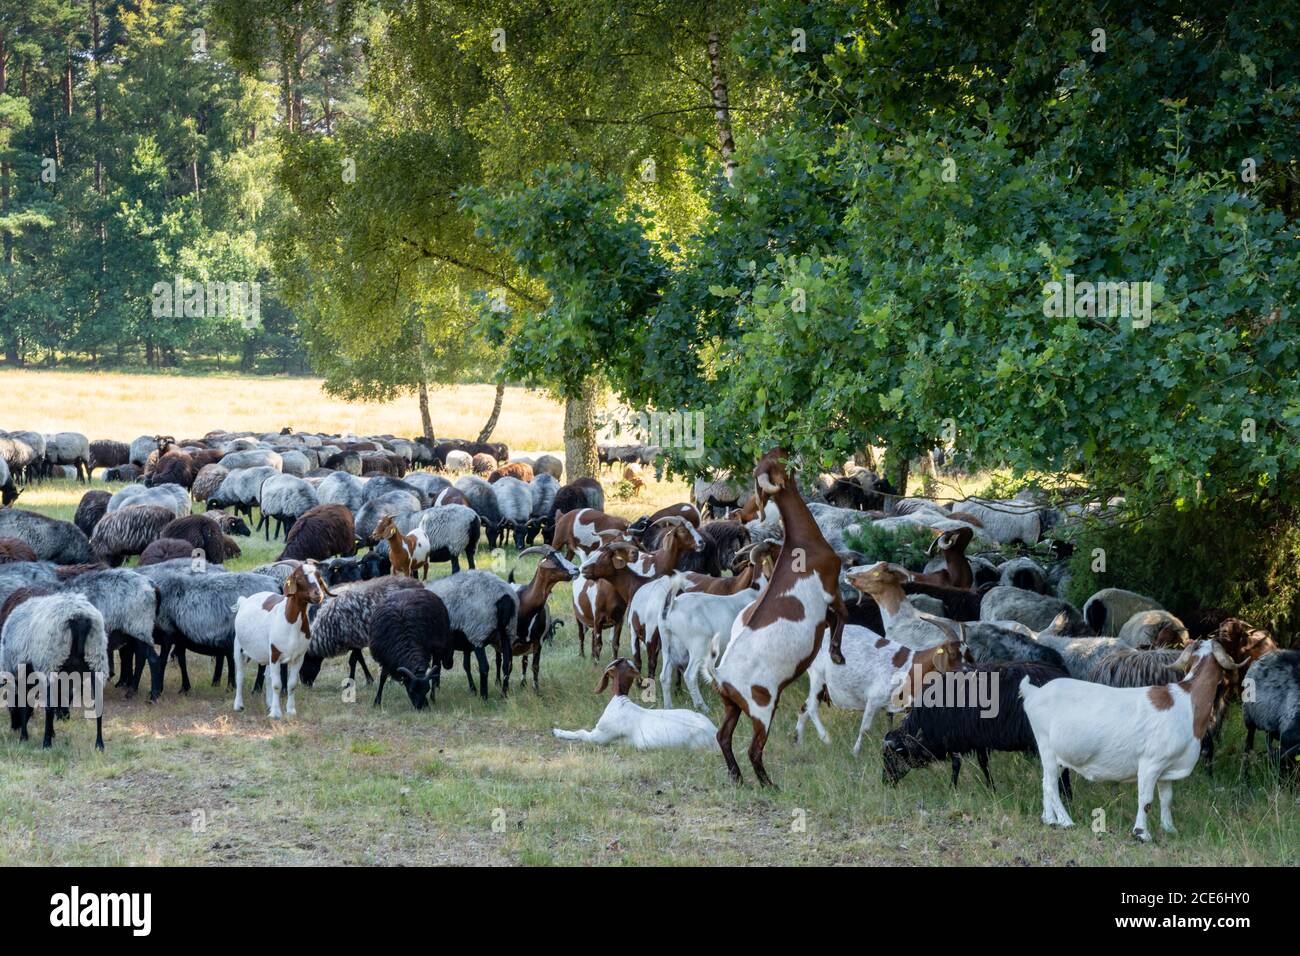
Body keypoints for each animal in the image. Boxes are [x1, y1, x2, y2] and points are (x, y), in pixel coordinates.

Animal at [0, 590, 106, 754]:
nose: (14, 727)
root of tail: (80, 618)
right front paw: (51, 732)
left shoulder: (25, 675)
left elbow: (26, 706)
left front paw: (24, 737)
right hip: (96, 660)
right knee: (99, 707)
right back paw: (99, 745)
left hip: (51, 662)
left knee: (49, 708)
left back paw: (46, 743)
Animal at [232, 561, 327, 717]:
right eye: (299, 578)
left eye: (319, 578)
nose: (318, 594)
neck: (291, 622)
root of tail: (244, 601)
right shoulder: (276, 654)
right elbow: (277, 684)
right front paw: (276, 714)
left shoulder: (298, 657)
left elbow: (291, 684)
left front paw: (290, 711)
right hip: (239, 647)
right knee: (240, 675)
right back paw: (238, 705)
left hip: (267, 654)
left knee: (267, 675)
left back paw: (269, 704)